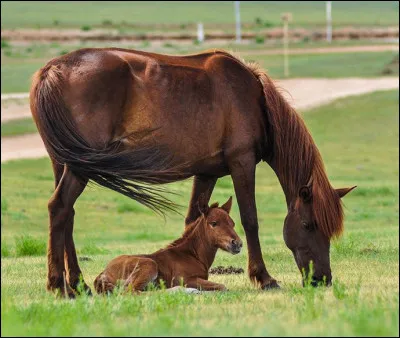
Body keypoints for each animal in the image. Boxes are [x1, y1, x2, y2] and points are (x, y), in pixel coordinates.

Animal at [95, 195, 242, 294]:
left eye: (232, 223)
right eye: (214, 223)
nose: (237, 244)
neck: (192, 254)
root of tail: (104, 273)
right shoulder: (186, 279)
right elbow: (222, 287)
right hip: (149, 265)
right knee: (132, 292)